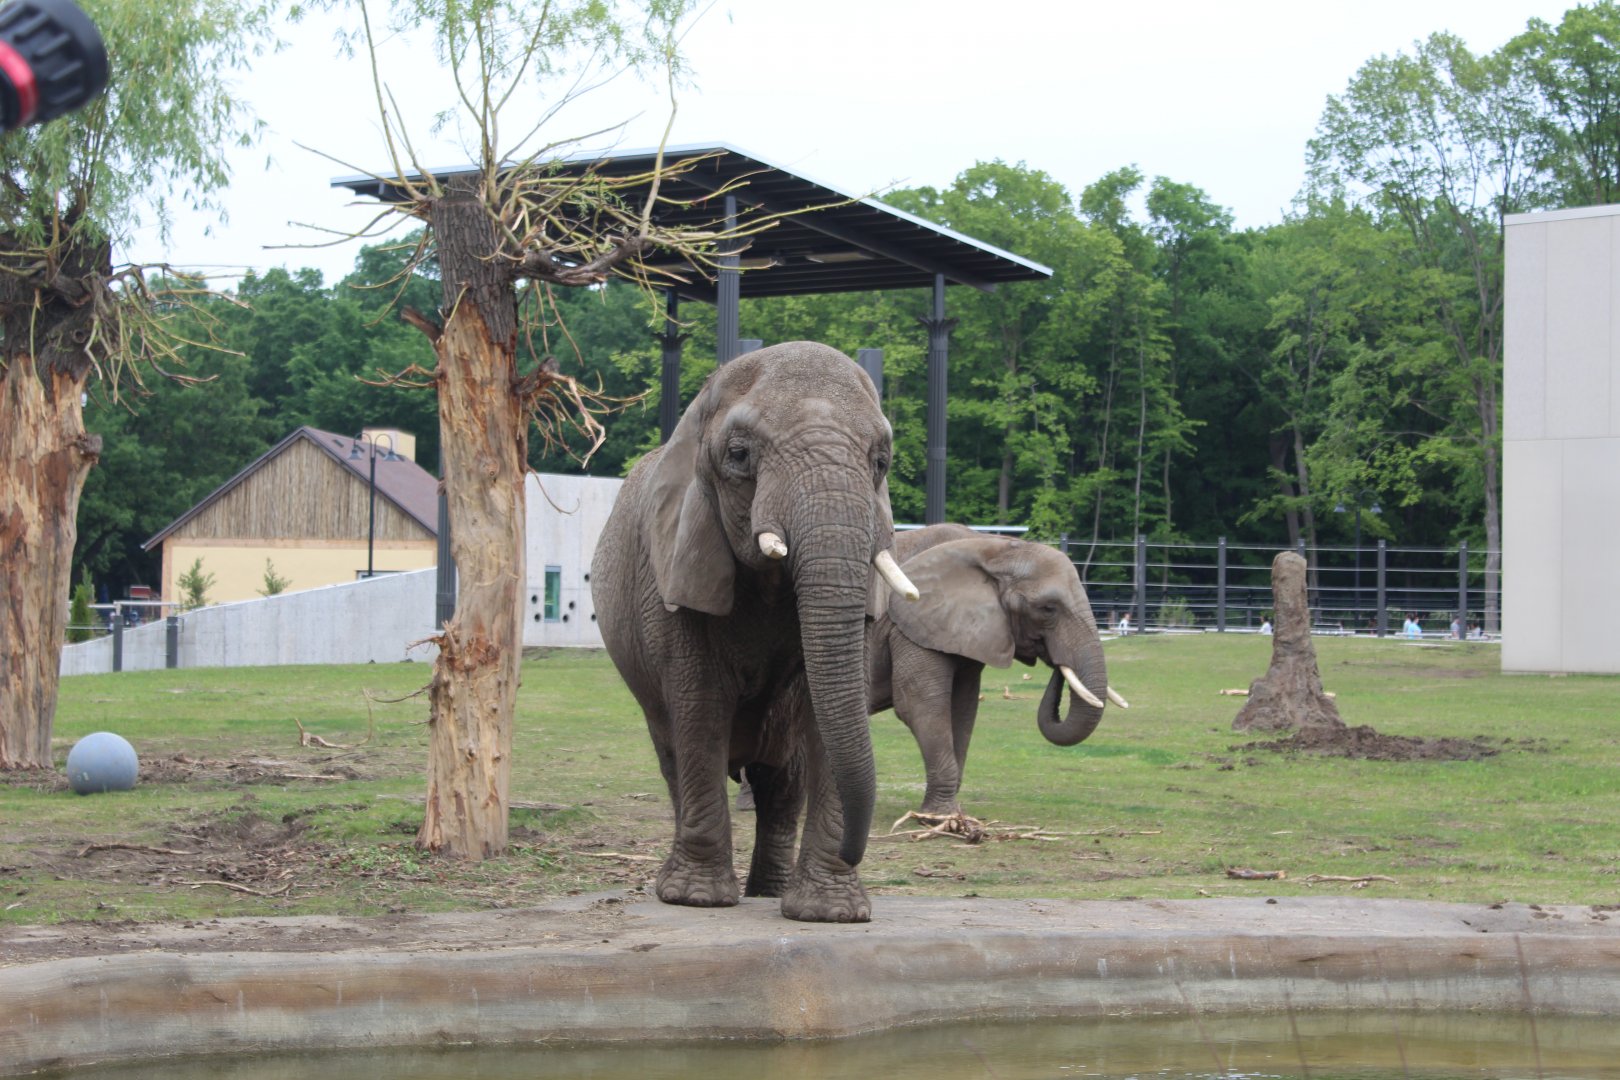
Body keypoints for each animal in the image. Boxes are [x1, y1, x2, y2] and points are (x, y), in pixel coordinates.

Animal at [591, 341, 918, 923]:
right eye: (740, 456)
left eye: (881, 463)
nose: (856, 848)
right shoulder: (672, 568)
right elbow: (699, 709)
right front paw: (695, 899)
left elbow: (828, 714)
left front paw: (832, 913)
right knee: (675, 755)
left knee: (782, 779)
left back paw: (768, 891)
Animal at [867, 523, 1126, 817]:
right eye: (1048, 608)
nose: (1056, 660)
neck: (995, 546)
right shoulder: (911, 625)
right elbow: (919, 705)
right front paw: (938, 817)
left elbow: (963, 707)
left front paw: (952, 813)